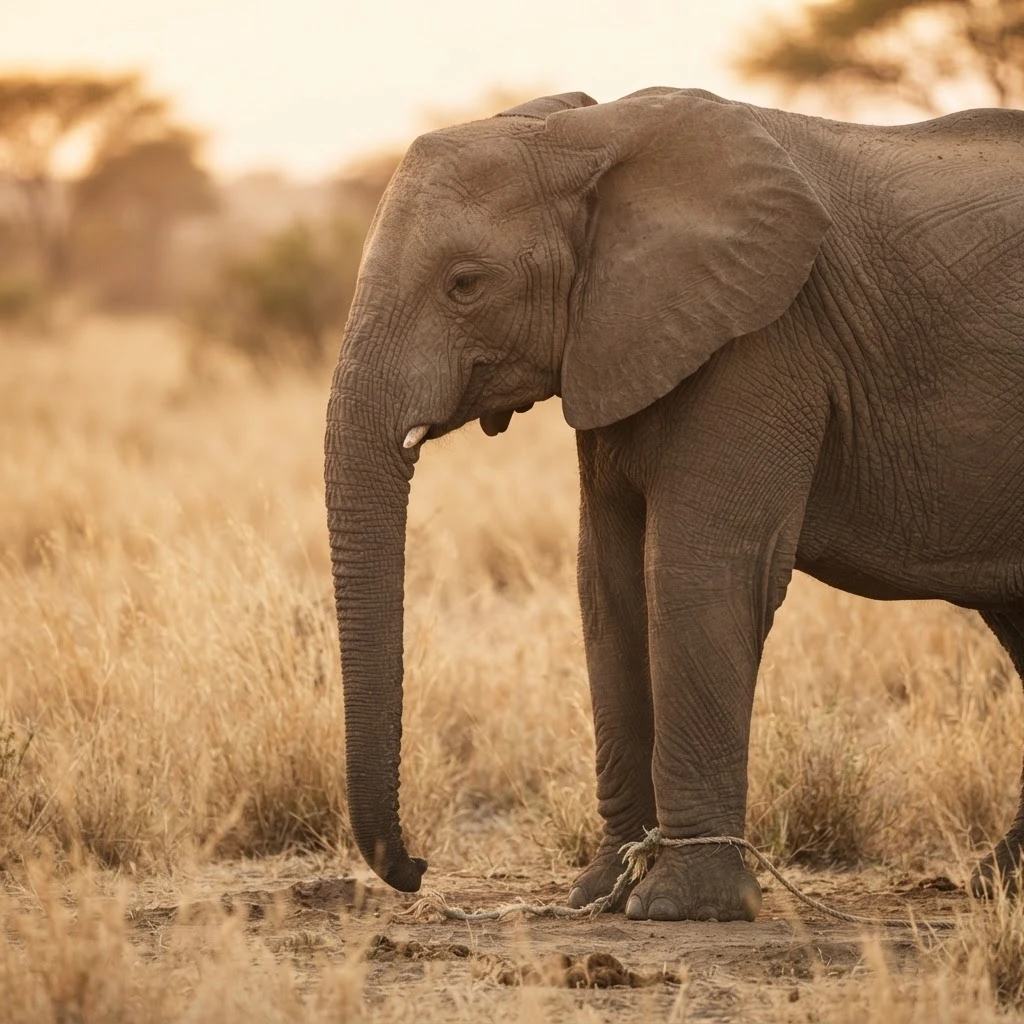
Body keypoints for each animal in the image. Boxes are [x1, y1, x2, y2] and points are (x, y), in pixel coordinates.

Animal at [324, 86, 1024, 922]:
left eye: (465, 283)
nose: (420, 866)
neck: (589, 136)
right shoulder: (616, 341)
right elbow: (608, 586)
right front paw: (602, 891)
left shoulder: (764, 340)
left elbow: (696, 573)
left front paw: (681, 907)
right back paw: (996, 883)